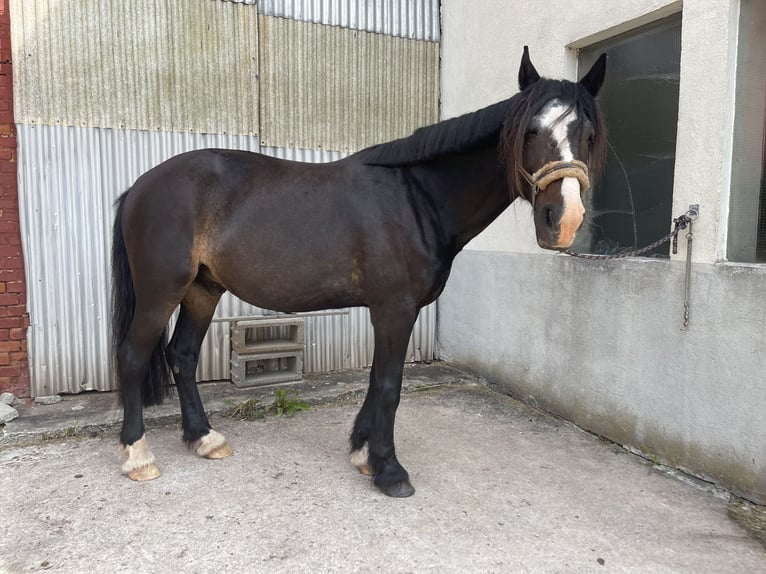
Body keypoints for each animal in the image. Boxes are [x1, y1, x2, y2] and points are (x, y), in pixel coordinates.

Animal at [112, 48, 608, 500]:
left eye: (588, 134)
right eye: (531, 131)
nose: (563, 220)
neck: (417, 196)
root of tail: (139, 187)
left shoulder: (390, 310)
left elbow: (375, 379)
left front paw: (362, 453)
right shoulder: (395, 308)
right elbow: (389, 385)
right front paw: (389, 470)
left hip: (203, 288)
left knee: (182, 355)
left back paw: (204, 438)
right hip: (161, 291)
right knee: (133, 357)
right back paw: (138, 456)